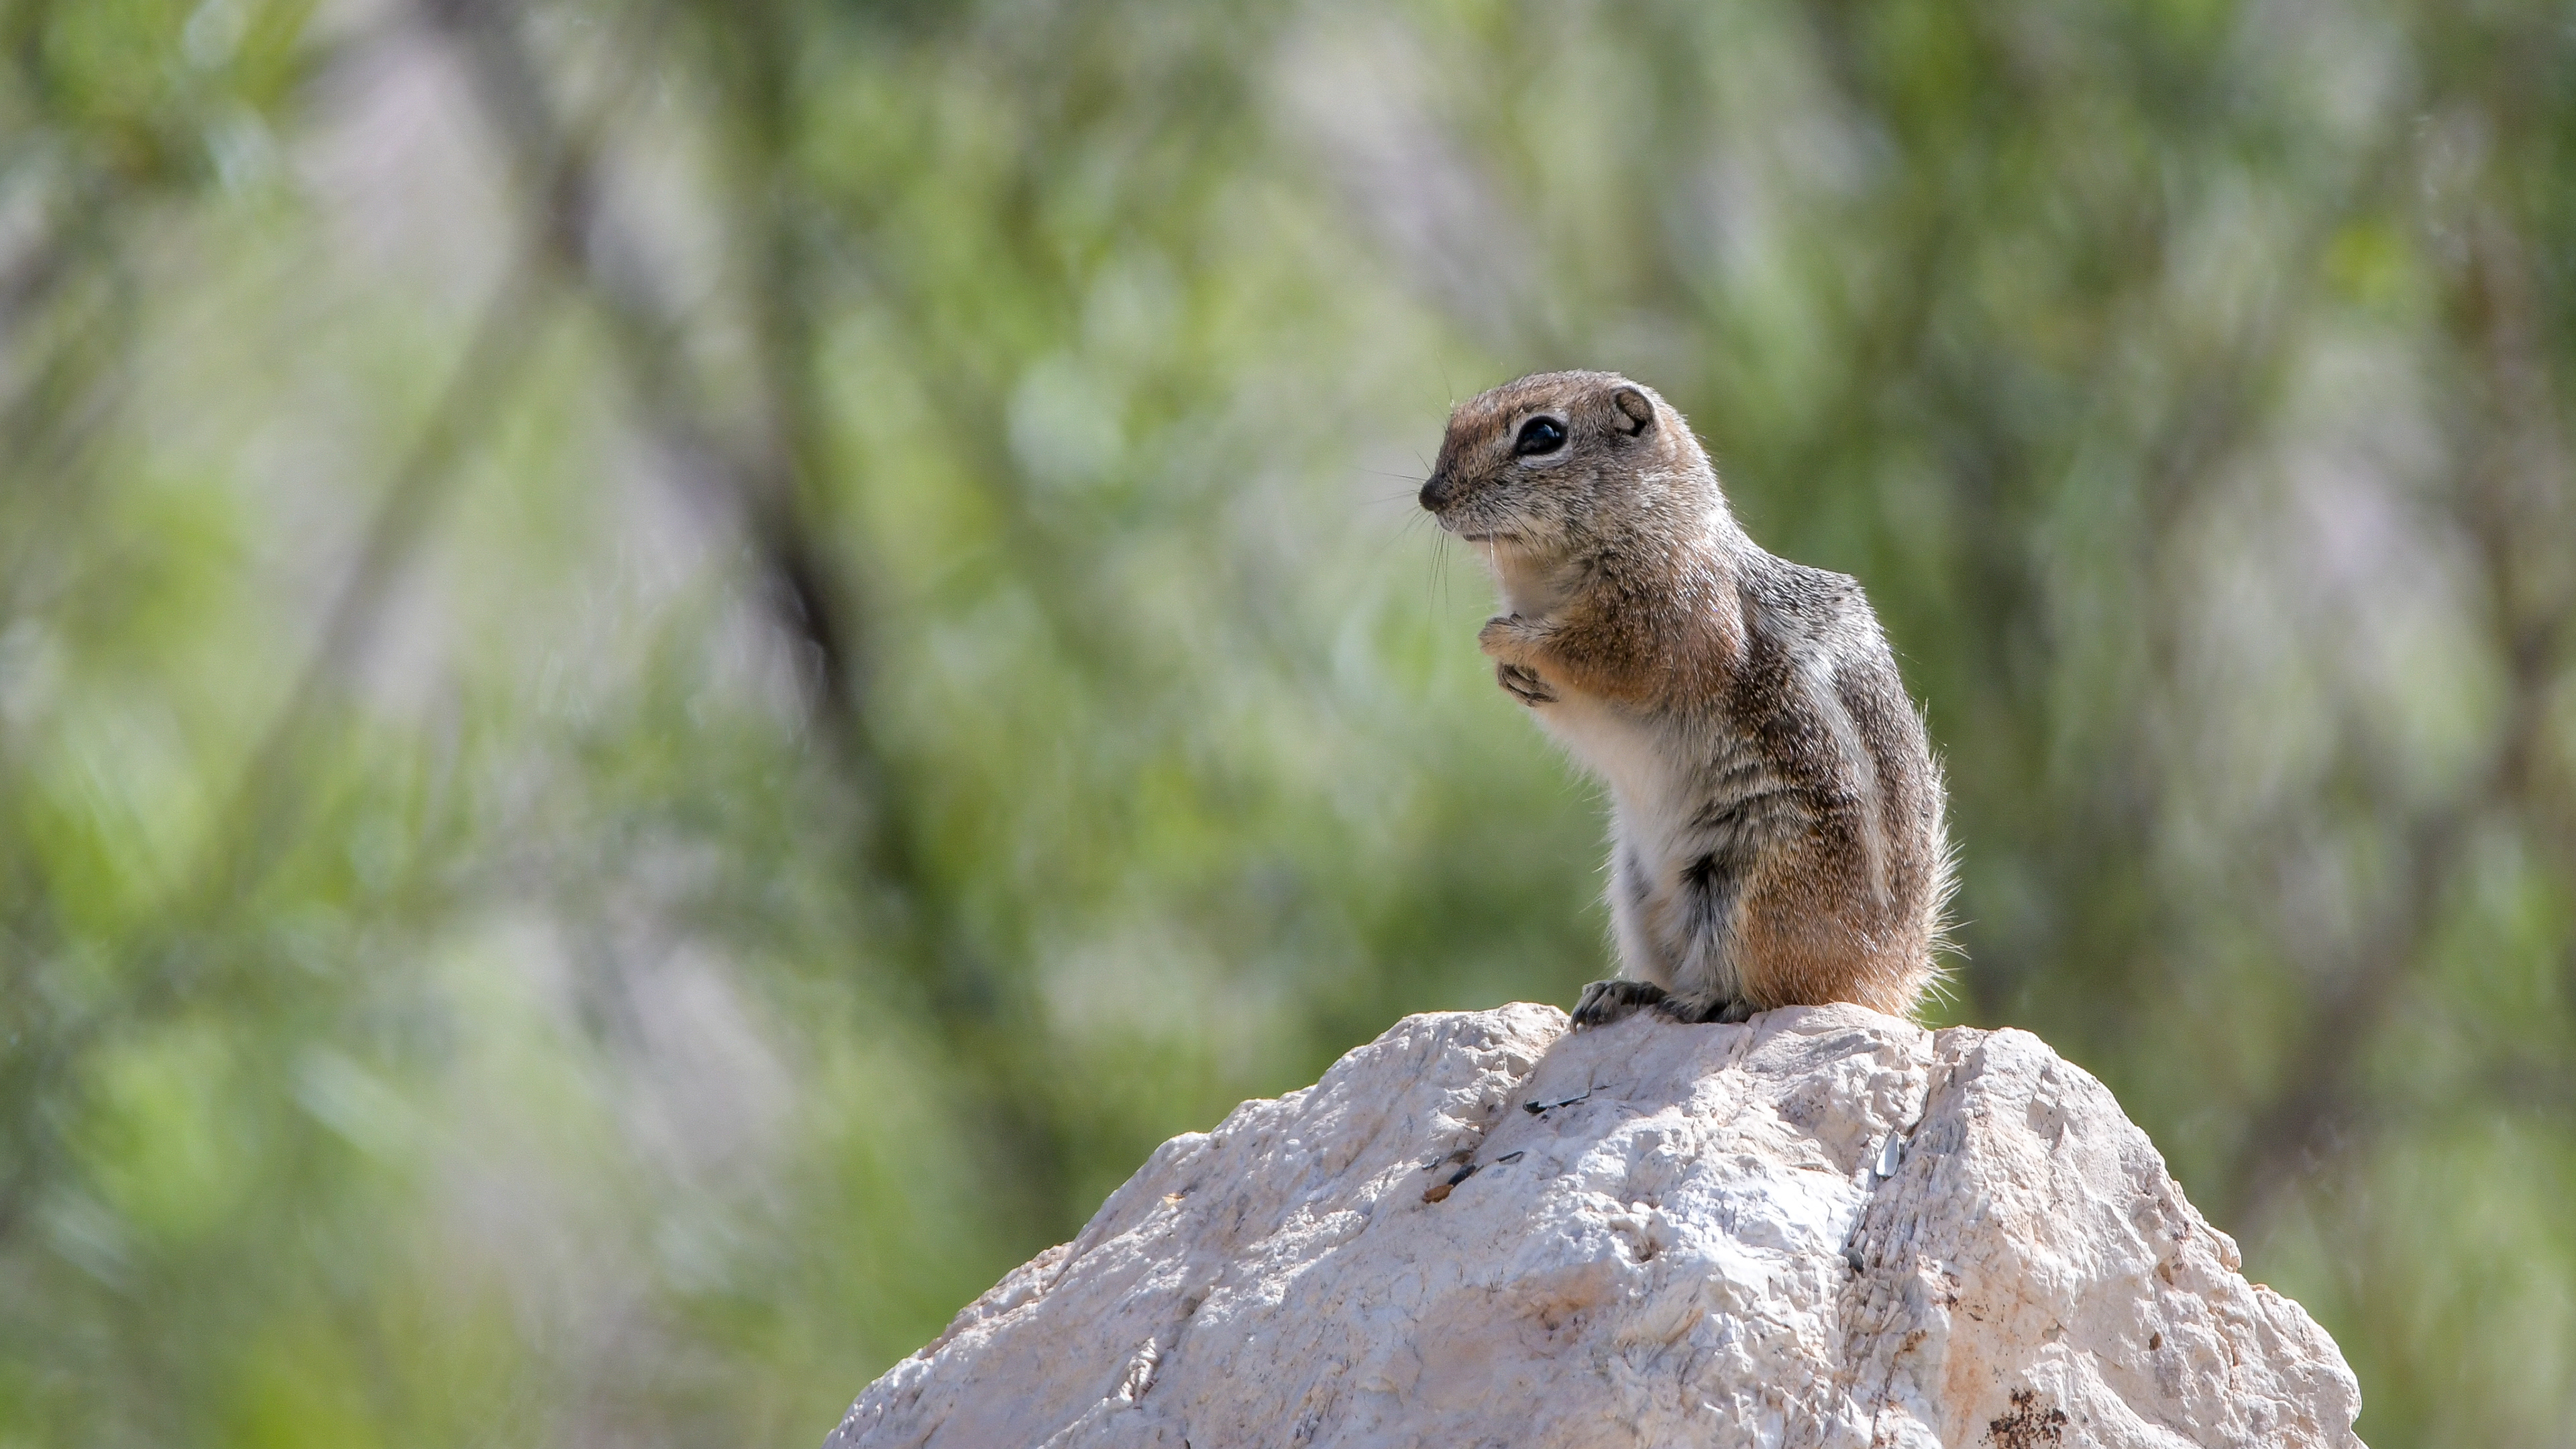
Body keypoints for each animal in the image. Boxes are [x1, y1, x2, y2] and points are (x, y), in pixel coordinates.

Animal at [1418, 370, 1954, 1026]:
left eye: (1542, 435)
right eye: (1456, 419)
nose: (1431, 495)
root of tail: (1890, 974)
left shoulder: (1670, 619)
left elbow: (1609, 657)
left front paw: (1502, 638)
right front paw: (1510, 673)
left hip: (1753, 887)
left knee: (1783, 990)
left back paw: (1706, 1000)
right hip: (1635, 890)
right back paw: (1626, 991)